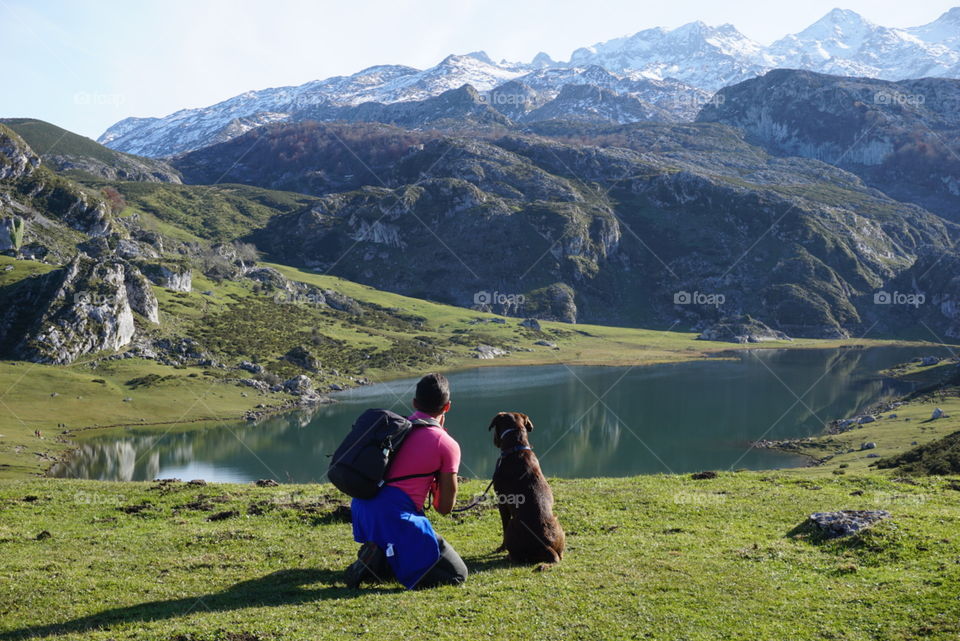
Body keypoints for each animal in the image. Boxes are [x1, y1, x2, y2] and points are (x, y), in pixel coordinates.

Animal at [488, 412, 564, 564]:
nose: (494, 441)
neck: (517, 447)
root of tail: (546, 546)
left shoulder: (502, 502)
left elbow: (503, 525)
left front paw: (501, 548)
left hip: (512, 525)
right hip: (558, 523)